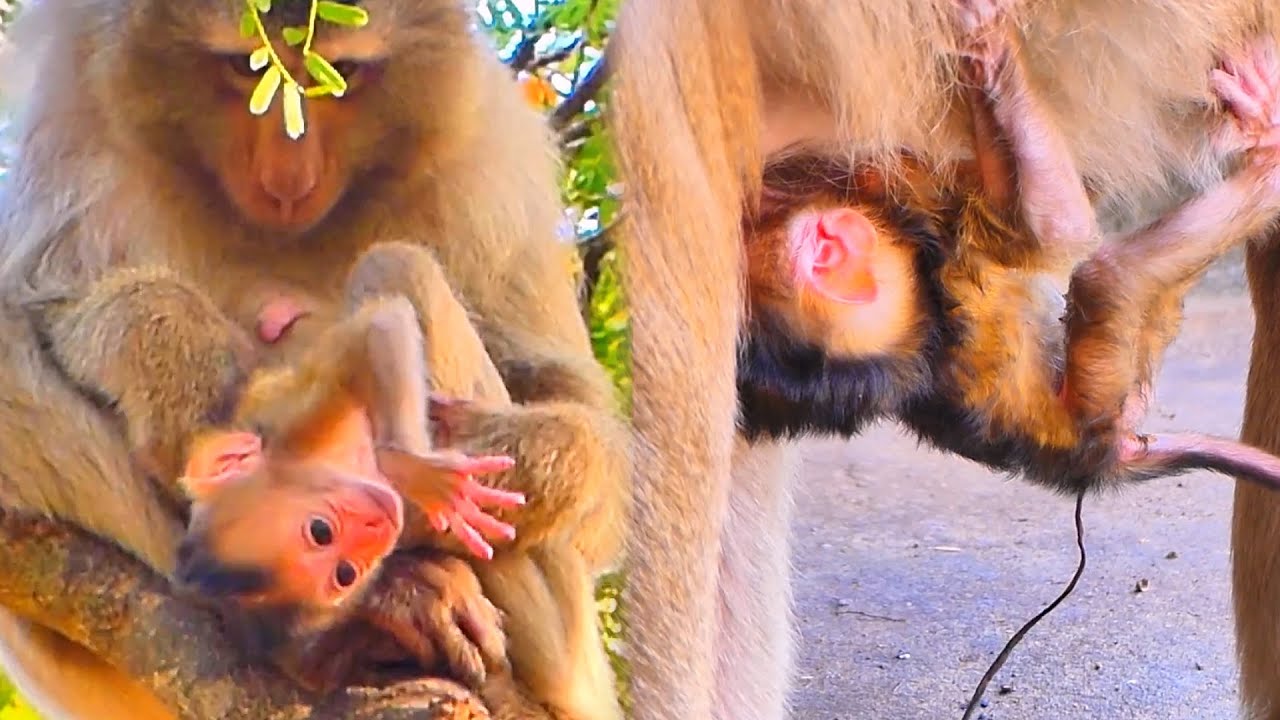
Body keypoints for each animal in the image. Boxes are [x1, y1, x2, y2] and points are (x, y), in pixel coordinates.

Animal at [0, 2, 629, 720]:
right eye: (239, 66)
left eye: (344, 75)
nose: (287, 180)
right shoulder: (78, 116)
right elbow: (40, 304)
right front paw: (176, 361)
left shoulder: (488, 161)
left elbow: (573, 410)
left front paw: (494, 457)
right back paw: (363, 607)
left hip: (564, 660)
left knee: (396, 269)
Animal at [608, 0, 1280, 717]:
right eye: (823, 257)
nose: (830, 239)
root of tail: (1098, 456)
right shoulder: (945, 248)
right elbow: (1059, 227)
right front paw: (992, 58)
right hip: (1101, 379)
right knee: (1108, 278)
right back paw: (1263, 158)